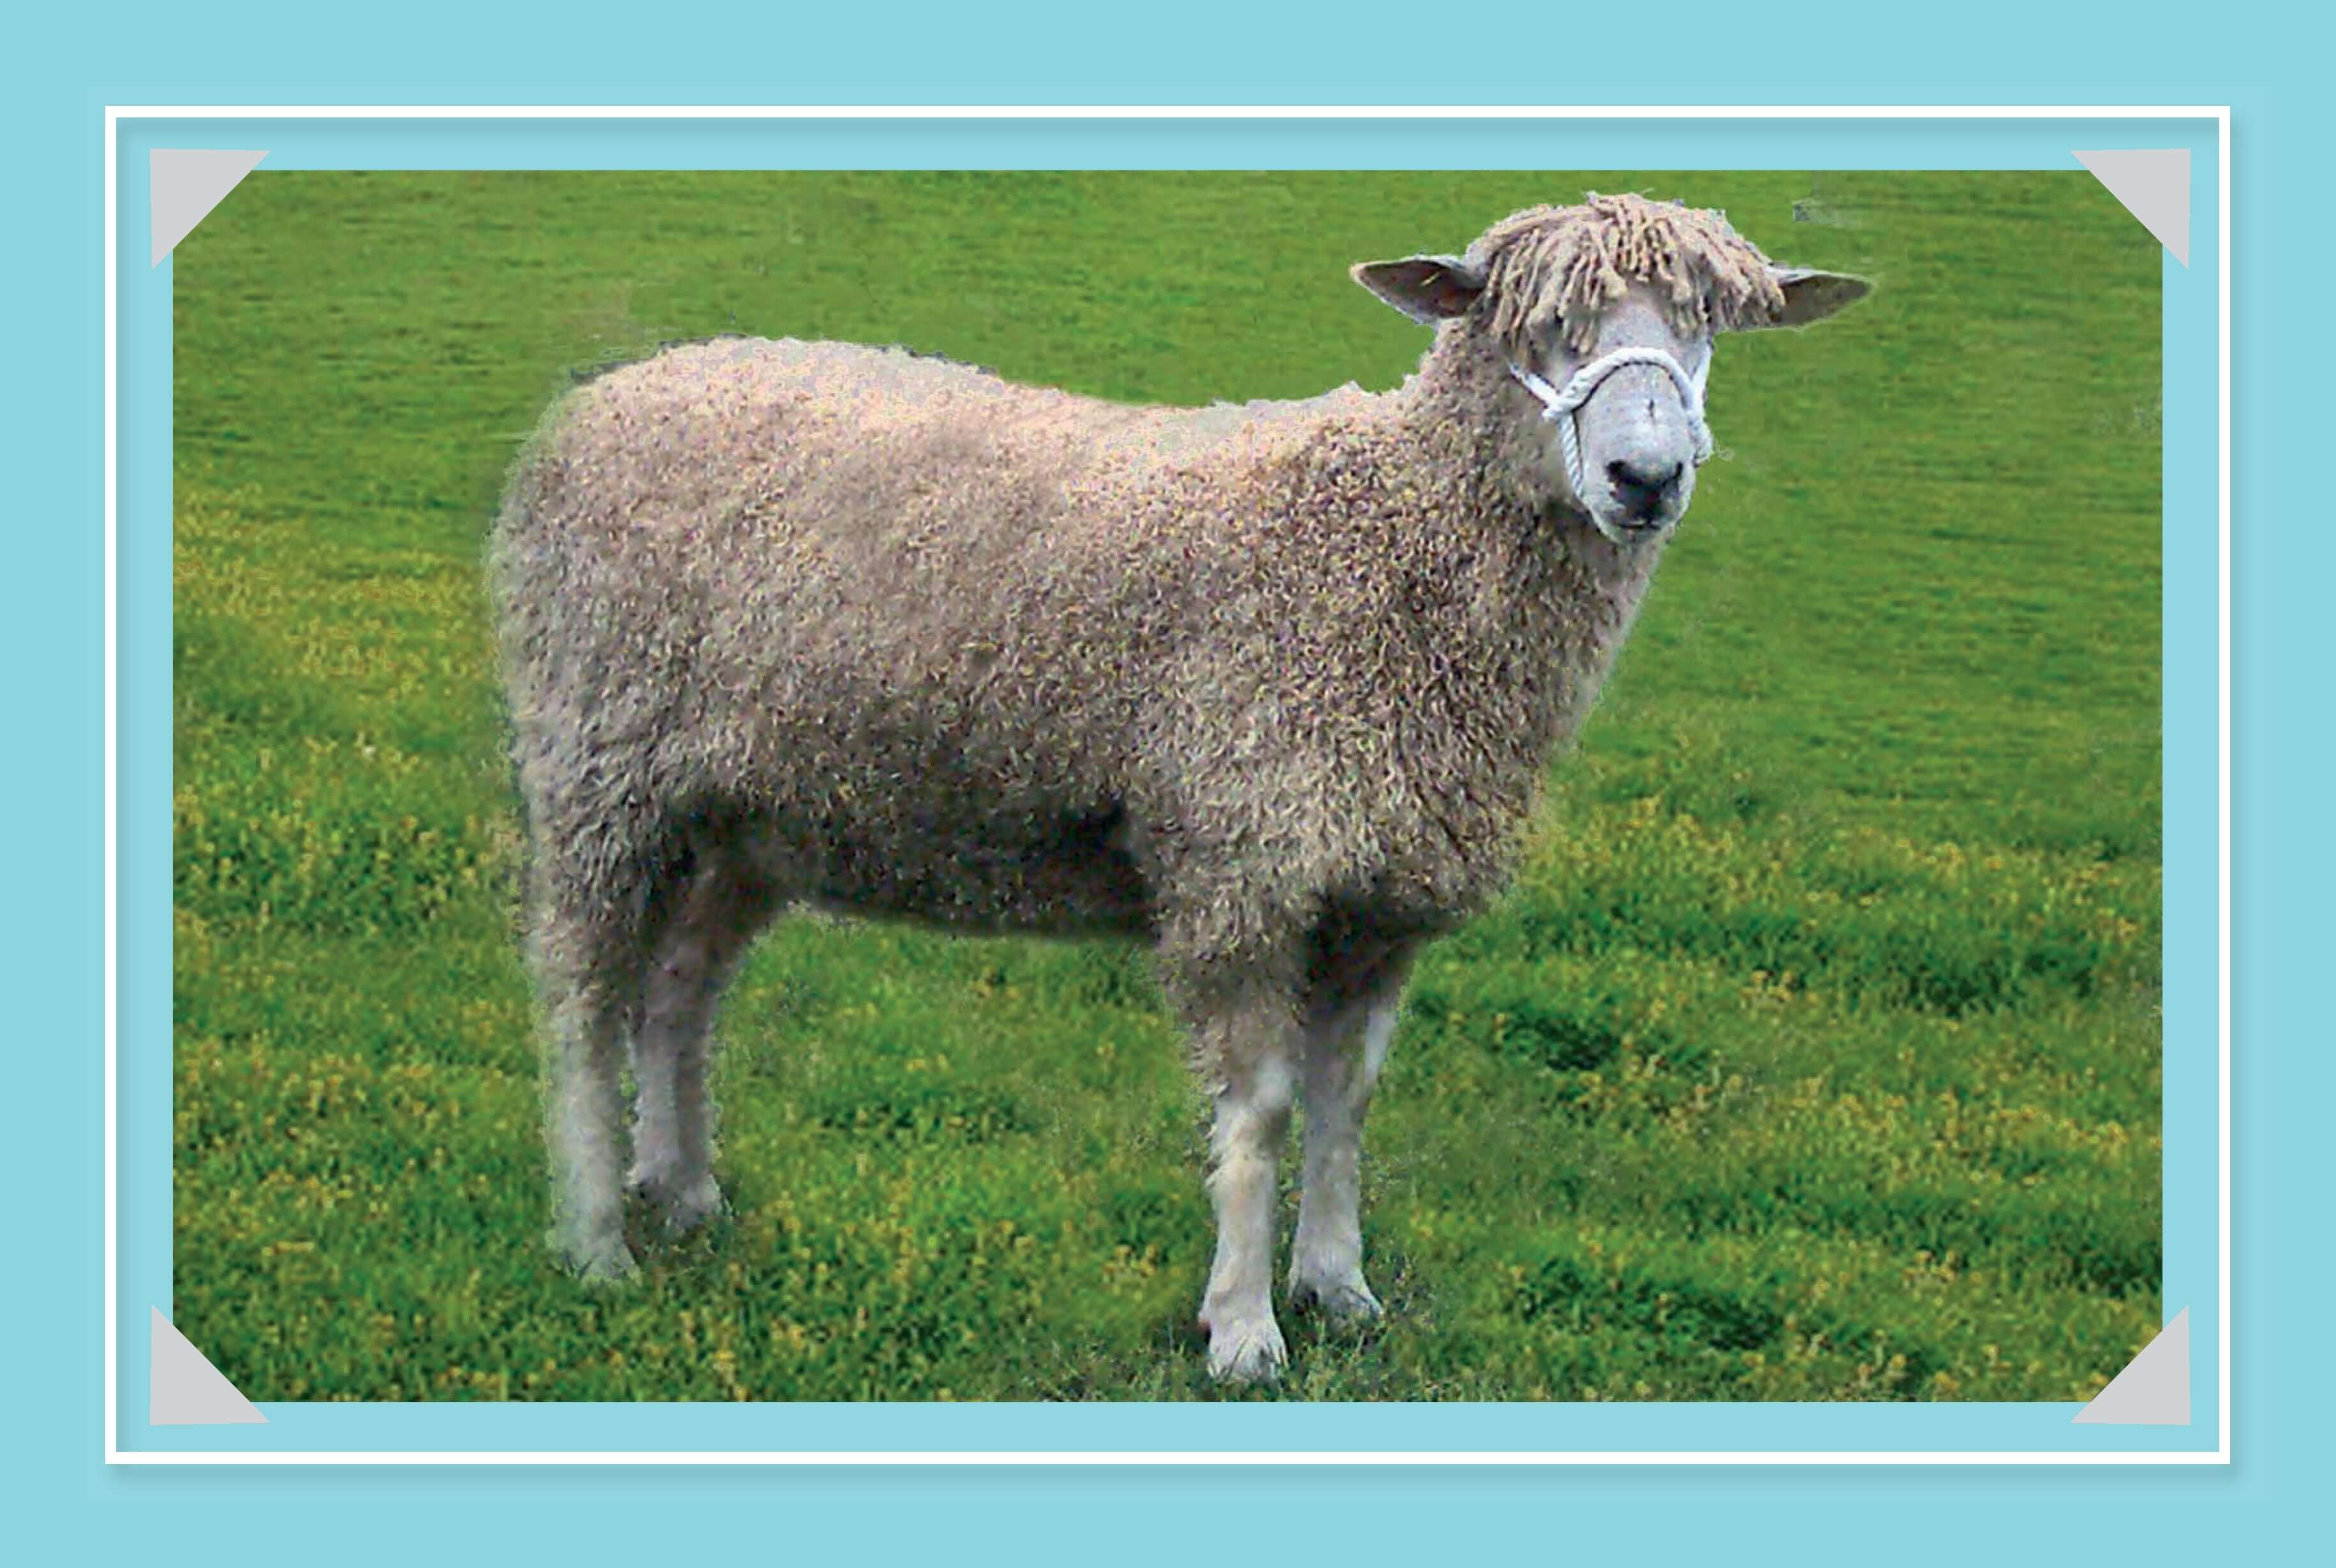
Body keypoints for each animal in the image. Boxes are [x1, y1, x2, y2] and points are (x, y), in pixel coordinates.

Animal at [489, 192, 1870, 1383]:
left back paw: (682, 1192)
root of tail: (600, 396)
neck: (1389, 552)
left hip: (744, 811)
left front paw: (1337, 1286)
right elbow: (1257, 1113)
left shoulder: (1377, 895)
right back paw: (595, 1238)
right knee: (580, 995)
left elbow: (1343, 1101)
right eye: (1539, 327)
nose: (1647, 477)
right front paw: (1245, 1328)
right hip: (597, 758)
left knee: (680, 986)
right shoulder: (1240, 862)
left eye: (1702, 325)